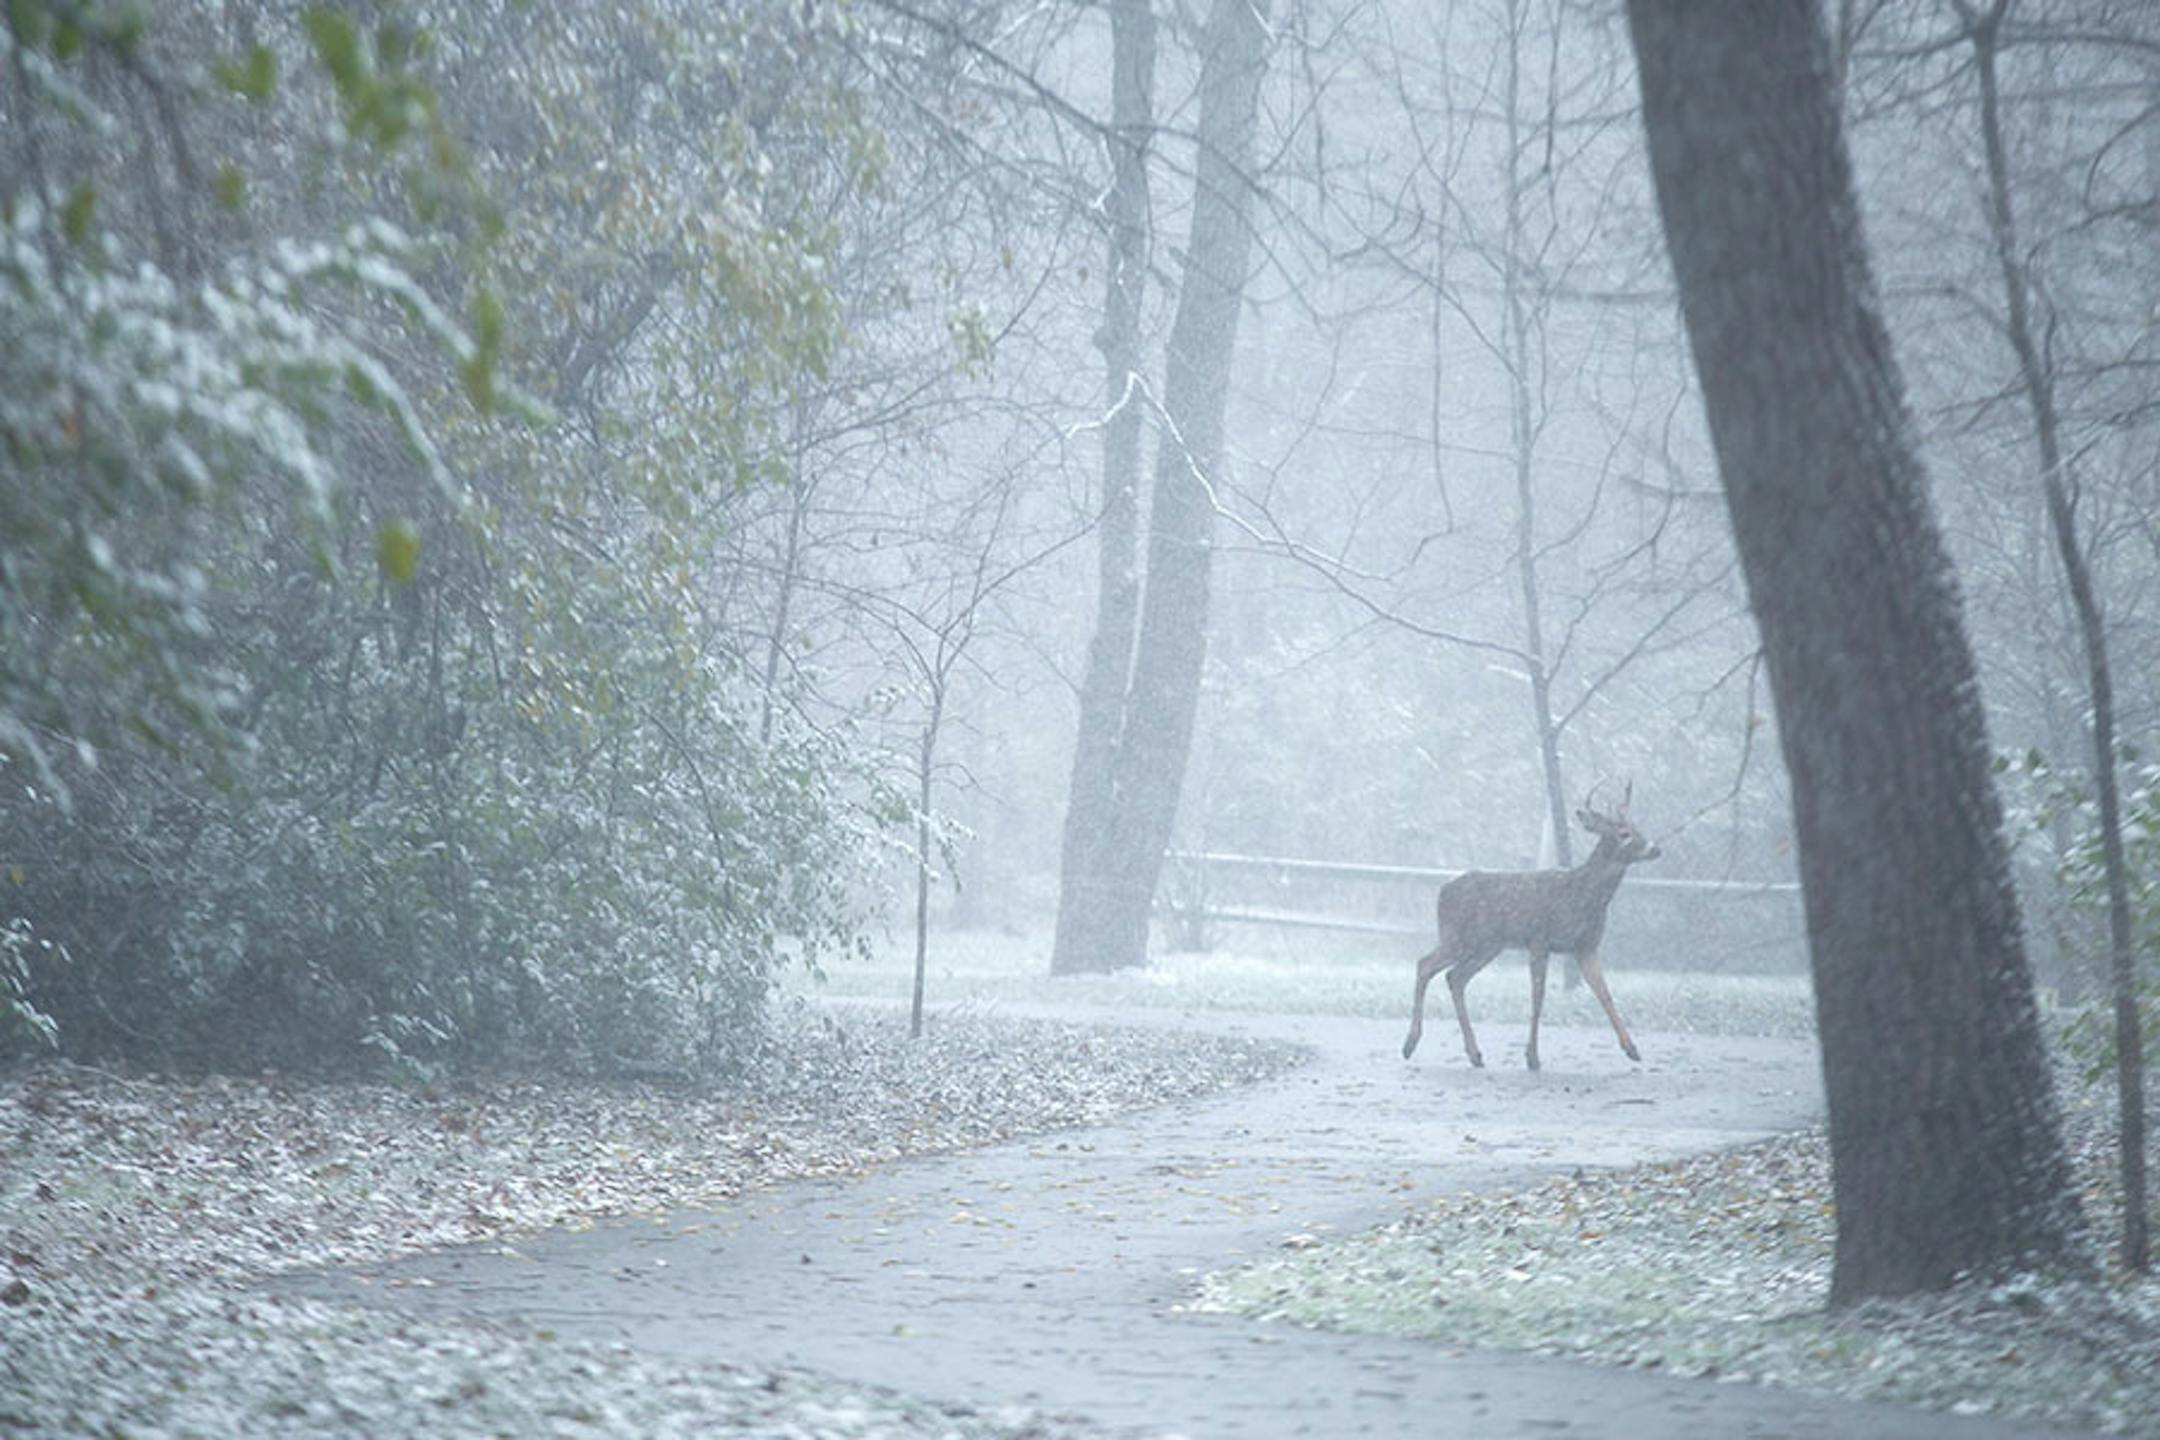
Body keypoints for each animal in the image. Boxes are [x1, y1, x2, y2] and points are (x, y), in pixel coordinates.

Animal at [1401, 785, 1660, 1071]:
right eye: (1624, 834)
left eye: (1639, 828)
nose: (1655, 848)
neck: (1581, 896)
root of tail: (1443, 888)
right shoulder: (1539, 938)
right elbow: (1539, 994)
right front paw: (1532, 1056)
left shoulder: (1586, 946)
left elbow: (1604, 993)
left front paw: (1632, 1049)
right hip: (1456, 935)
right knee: (1425, 965)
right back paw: (1410, 1044)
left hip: (1488, 946)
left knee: (1455, 977)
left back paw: (1475, 1054)